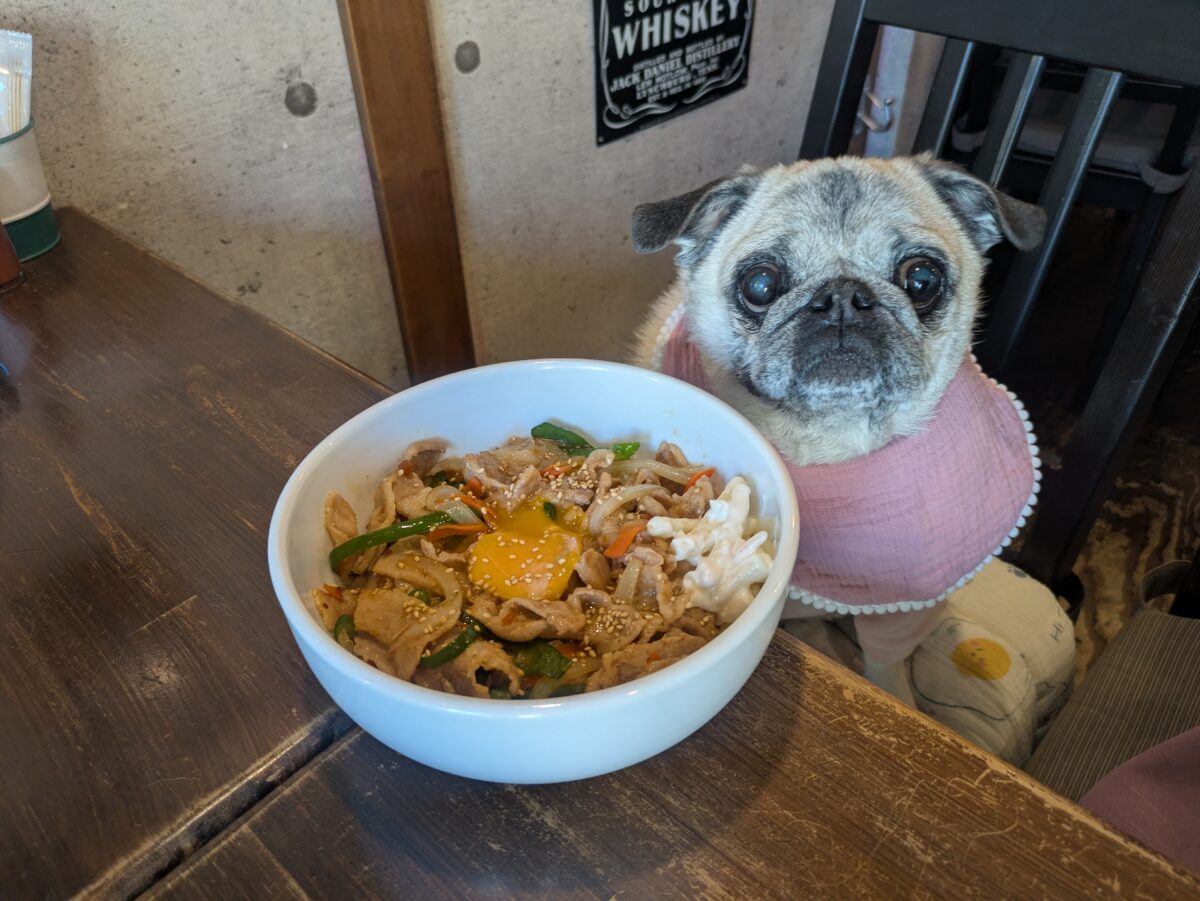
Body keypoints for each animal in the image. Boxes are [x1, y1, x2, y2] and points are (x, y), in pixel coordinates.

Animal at [631, 154, 1047, 704]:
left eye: (922, 279)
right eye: (760, 284)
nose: (844, 297)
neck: (829, 438)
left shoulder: (904, 616)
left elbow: (886, 669)